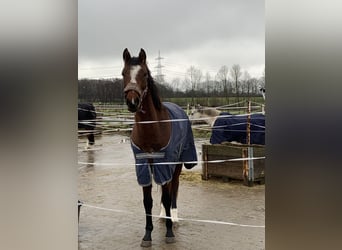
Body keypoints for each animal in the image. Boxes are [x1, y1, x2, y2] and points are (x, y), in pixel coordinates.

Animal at [122, 48, 198, 246]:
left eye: (144, 74)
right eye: (123, 73)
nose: (132, 102)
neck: (152, 127)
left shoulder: (165, 163)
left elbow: (166, 195)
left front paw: (169, 233)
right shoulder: (143, 165)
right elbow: (147, 201)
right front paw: (147, 235)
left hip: (177, 164)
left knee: (174, 188)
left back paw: (174, 217)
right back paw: (164, 215)